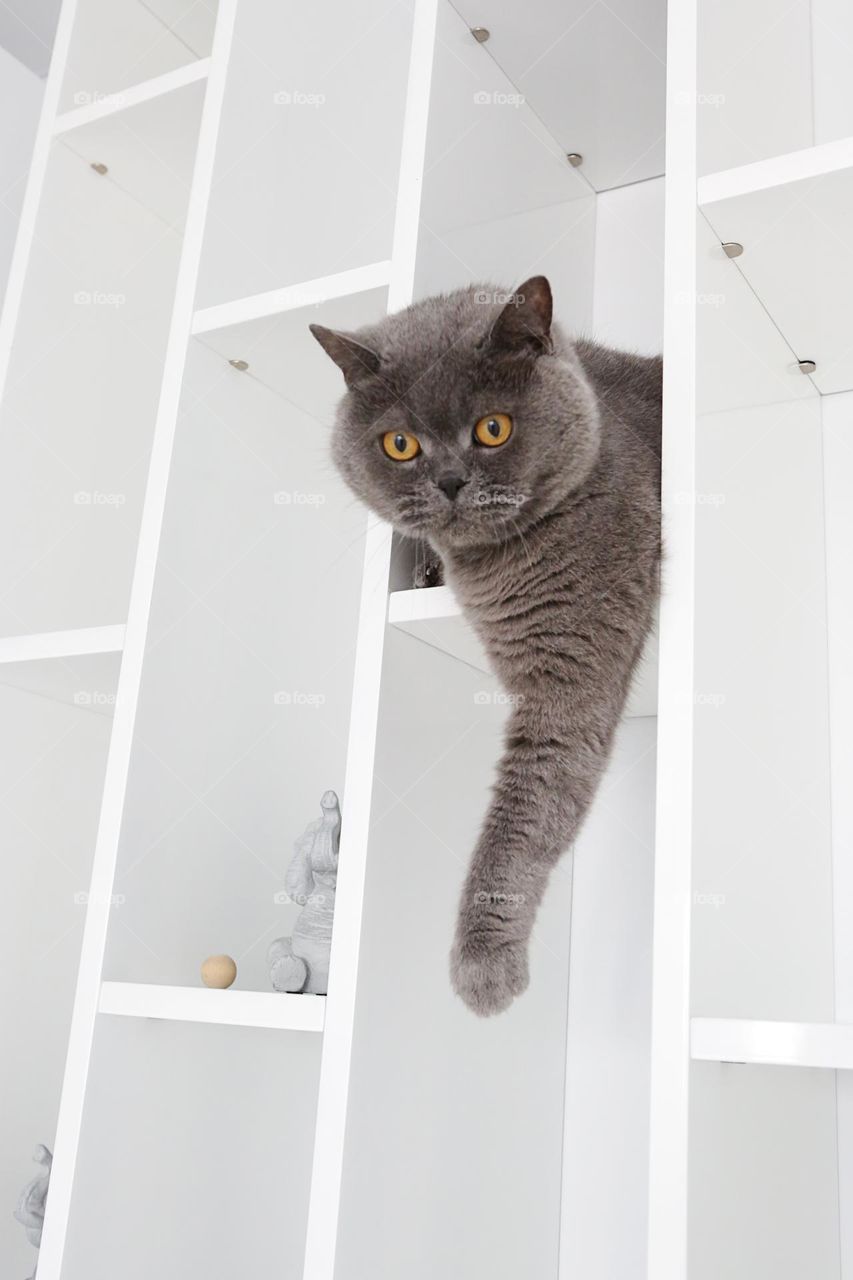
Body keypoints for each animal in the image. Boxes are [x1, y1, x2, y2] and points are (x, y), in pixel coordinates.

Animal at [308, 275, 660, 1013]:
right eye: (400, 444)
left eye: (492, 429)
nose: (448, 482)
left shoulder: (569, 669)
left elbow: (521, 816)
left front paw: (482, 966)